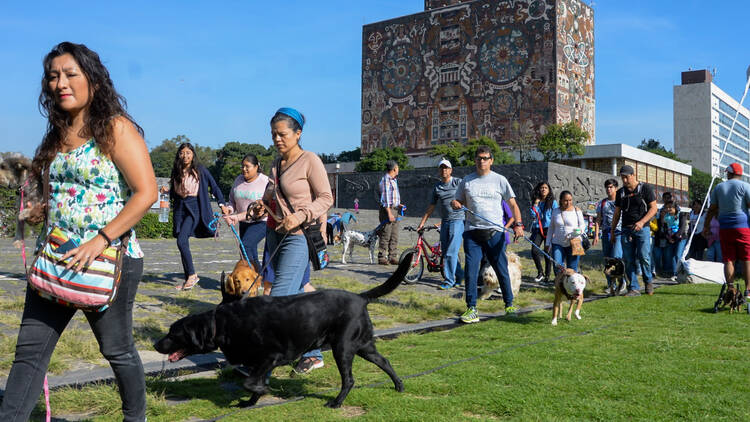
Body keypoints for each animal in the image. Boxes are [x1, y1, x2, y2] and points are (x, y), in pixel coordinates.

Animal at [153, 252, 412, 408]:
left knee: (349, 379)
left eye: (173, 333)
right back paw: (399, 386)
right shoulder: (260, 362)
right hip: (363, 346)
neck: (222, 324)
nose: (156, 344)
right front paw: (250, 401)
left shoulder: (271, 356)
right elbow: (253, 383)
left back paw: (336, 402)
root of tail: (360, 297)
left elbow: (251, 383)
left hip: (343, 348)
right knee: (385, 361)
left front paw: (262, 390)